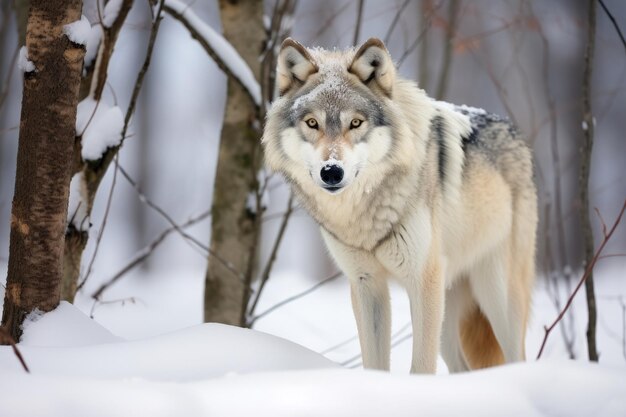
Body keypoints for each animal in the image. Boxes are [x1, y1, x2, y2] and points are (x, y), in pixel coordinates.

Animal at [260, 37, 532, 372]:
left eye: (355, 123)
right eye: (312, 123)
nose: (332, 172)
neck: (361, 214)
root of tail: (513, 131)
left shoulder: (422, 281)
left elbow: (421, 368)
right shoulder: (366, 285)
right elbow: (374, 363)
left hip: (496, 299)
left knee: (519, 357)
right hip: (449, 313)